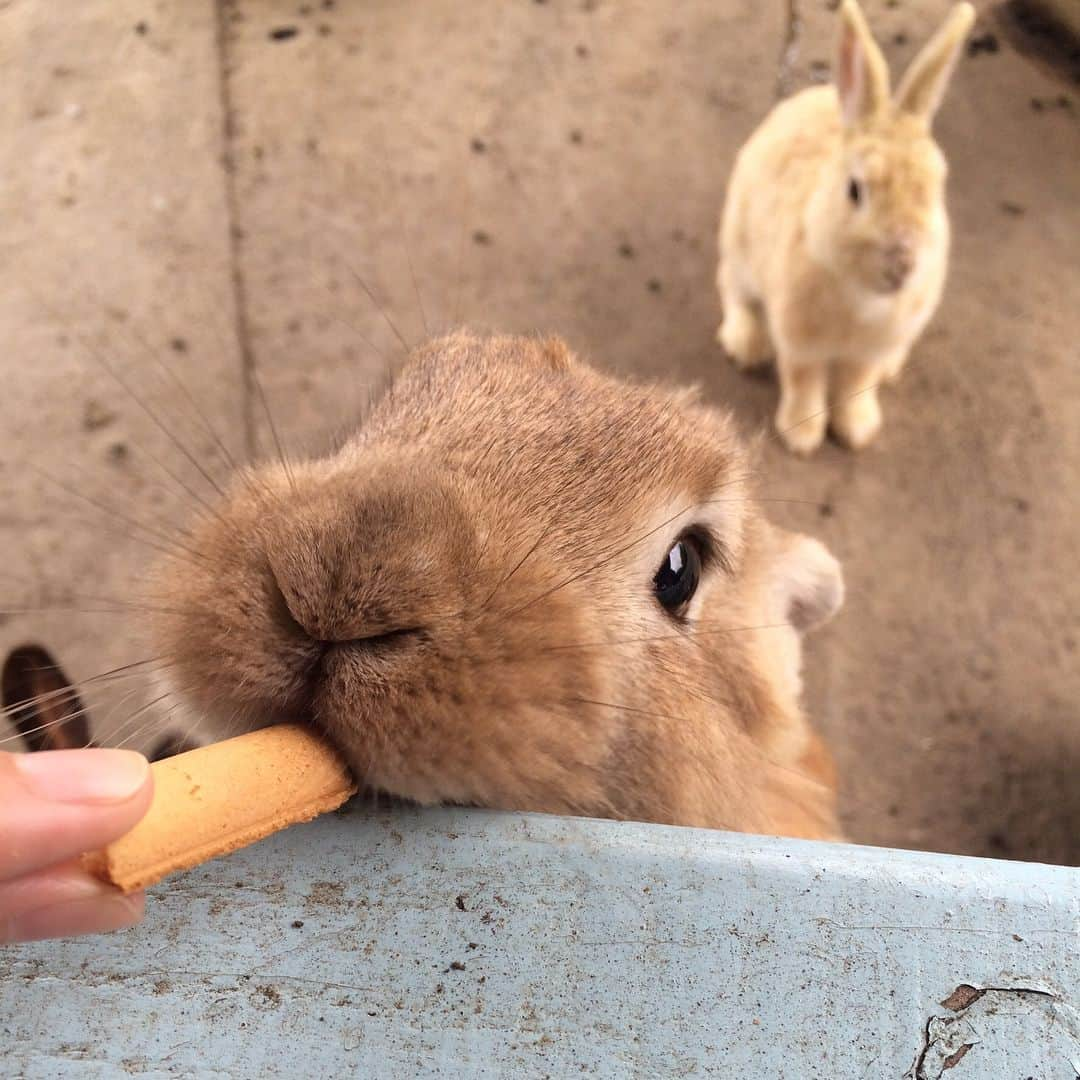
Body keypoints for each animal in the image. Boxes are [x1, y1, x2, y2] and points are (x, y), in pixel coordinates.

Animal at [721, 0, 976, 455]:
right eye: (855, 190)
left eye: (937, 185)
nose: (903, 263)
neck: (863, 297)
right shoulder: (800, 341)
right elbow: (803, 380)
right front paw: (802, 436)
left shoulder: (868, 352)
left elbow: (857, 384)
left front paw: (858, 431)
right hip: (739, 245)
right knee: (733, 290)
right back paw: (747, 344)